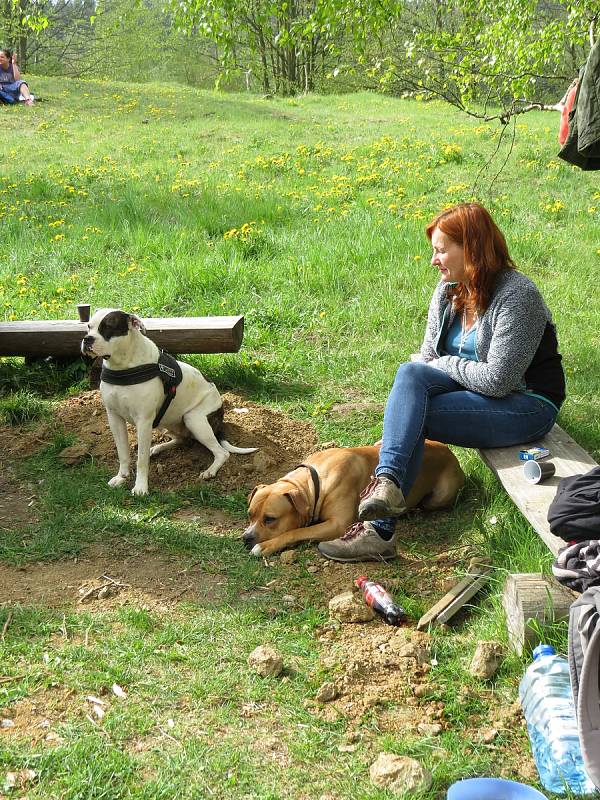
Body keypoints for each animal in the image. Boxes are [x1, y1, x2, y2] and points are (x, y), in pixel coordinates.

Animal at [81, 310, 256, 494]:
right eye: (88, 327)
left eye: (108, 327)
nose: (87, 339)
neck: (122, 366)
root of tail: (220, 413)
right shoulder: (114, 418)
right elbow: (123, 453)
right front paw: (121, 477)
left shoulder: (143, 421)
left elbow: (141, 459)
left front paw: (141, 487)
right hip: (166, 422)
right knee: (182, 440)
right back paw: (157, 448)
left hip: (194, 419)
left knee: (222, 453)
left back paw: (210, 471)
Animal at [244, 438, 464, 556]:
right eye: (250, 515)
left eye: (270, 519)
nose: (246, 537)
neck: (316, 481)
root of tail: (450, 452)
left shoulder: (338, 525)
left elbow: (295, 532)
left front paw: (265, 546)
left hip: (440, 496)